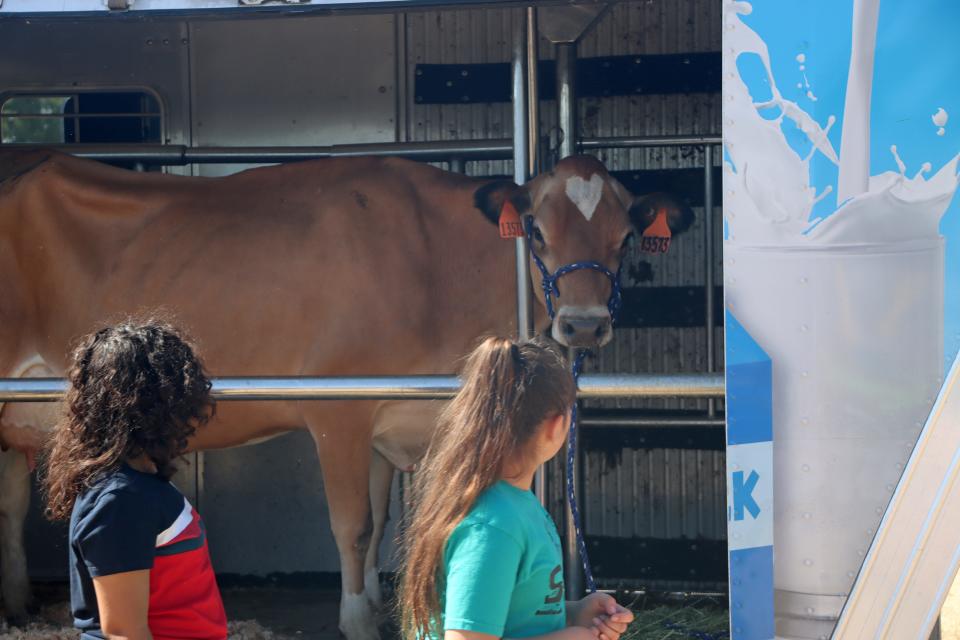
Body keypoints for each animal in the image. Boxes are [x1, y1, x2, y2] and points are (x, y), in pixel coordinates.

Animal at [0, 149, 688, 636]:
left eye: (626, 238)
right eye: (538, 232)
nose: (584, 325)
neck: (434, 266)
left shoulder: (391, 419)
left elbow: (383, 520)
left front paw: (383, 603)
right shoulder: (339, 408)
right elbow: (353, 524)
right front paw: (357, 620)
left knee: (10, 501)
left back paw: (16, 602)